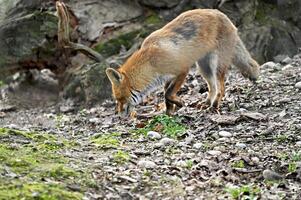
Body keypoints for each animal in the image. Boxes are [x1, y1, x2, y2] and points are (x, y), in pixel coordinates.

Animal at [105, 8, 258, 116]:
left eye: (119, 99)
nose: (118, 115)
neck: (151, 62)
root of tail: (223, 15)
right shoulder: (166, 78)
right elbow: (166, 96)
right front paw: (169, 112)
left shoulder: (182, 70)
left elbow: (168, 94)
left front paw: (179, 104)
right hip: (204, 68)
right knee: (213, 87)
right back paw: (207, 103)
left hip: (216, 65)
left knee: (221, 88)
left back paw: (214, 106)